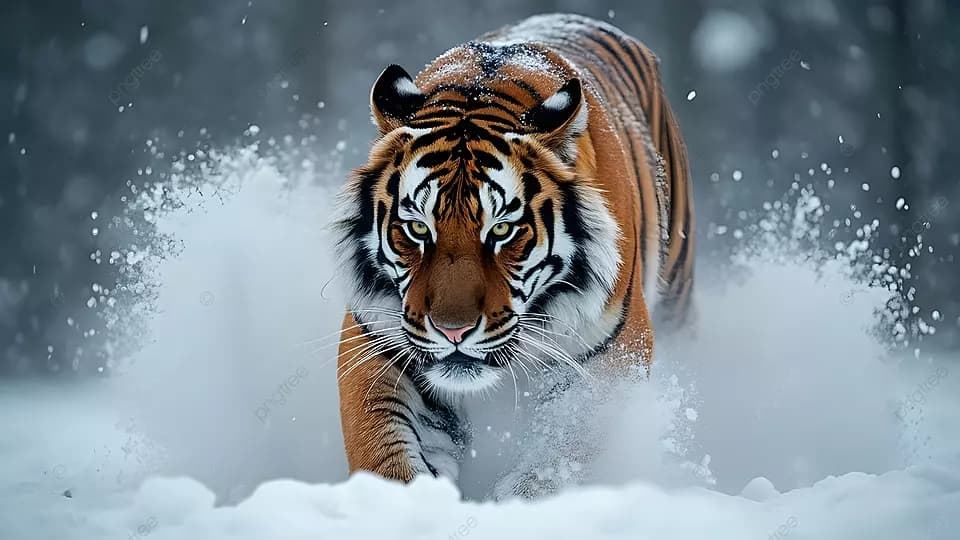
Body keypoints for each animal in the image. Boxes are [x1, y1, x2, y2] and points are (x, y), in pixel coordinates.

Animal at [333, 13, 693, 495]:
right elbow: (383, 451)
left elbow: (564, 451)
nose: (452, 332)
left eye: (502, 229)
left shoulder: (611, 358)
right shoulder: (378, 341)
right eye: (417, 227)